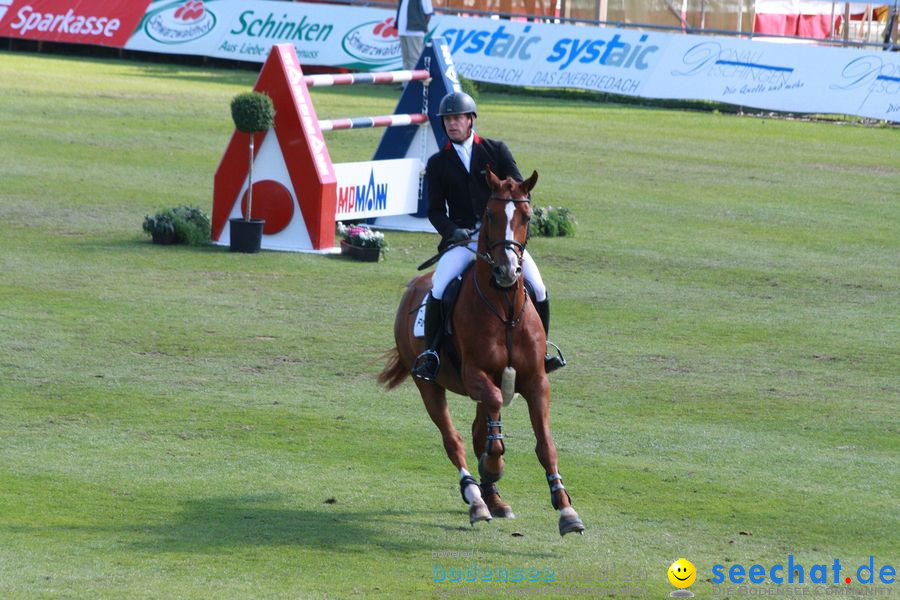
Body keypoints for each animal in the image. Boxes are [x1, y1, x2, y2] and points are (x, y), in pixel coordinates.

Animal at [378, 166, 584, 536]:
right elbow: (489, 431)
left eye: (526, 216)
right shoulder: (476, 375)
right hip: (429, 385)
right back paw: (476, 497)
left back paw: (493, 497)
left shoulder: (536, 382)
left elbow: (545, 444)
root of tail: (414, 287)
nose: (506, 271)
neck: (504, 309)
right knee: (454, 440)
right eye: (489, 215)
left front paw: (566, 509)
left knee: (479, 431)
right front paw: (493, 466)